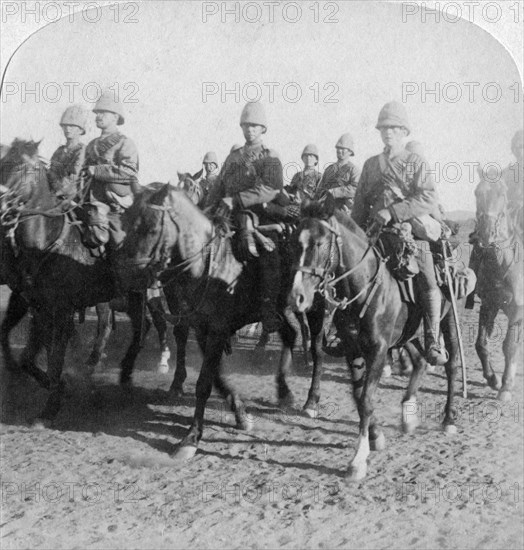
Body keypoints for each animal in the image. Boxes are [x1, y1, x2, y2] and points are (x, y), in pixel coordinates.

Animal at [0, 139, 146, 422]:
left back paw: (125, 375)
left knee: (140, 331)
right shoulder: (39, 307)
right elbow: (30, 357)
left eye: (23, 167)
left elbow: (56, 356)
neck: (46, 242)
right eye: (2, 164)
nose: (1, 206)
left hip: (137, 294)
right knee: (107, 327)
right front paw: (57, 387)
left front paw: (51, 406)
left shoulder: (61, 309)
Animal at [116, 183, 326, 460]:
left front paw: (191, 437)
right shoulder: (203, 330)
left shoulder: (216, 331)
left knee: (317, 349)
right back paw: (284, 392)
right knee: (290, 334)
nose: (125, 273)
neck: (209, 264)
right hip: (281, 311)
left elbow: (204, 383)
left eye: (151, 228)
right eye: (126, 222)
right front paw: (240, 413)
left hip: (315, 308)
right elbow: (215, 376)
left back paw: (311, 401)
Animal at [288, 201, 460, 480]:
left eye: (320, 243)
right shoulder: (353, 349)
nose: (297, 297)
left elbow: (367, 399)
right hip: (406, 334)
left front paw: (358, 460)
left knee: (451, 365)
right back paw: (408, 415)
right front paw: (376, 436)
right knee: (420, 361)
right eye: (293, 242)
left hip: (448, 321)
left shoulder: (378, 351)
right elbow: (359, 396)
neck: (366, 287)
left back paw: (448, 420)